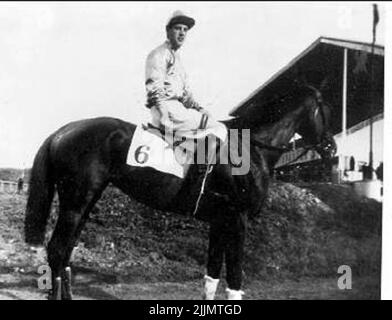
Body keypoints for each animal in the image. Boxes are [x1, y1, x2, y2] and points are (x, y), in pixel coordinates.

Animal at [25, 85, 336, 300]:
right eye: (326, 110)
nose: (332, 149)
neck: (249, 147)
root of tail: (63, 131)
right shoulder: (237, 220)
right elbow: (234, 278)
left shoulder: (220, 222)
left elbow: (212, 275)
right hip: (75, 203)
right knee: (57, 250)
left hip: (85, 203)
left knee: (66, 253)